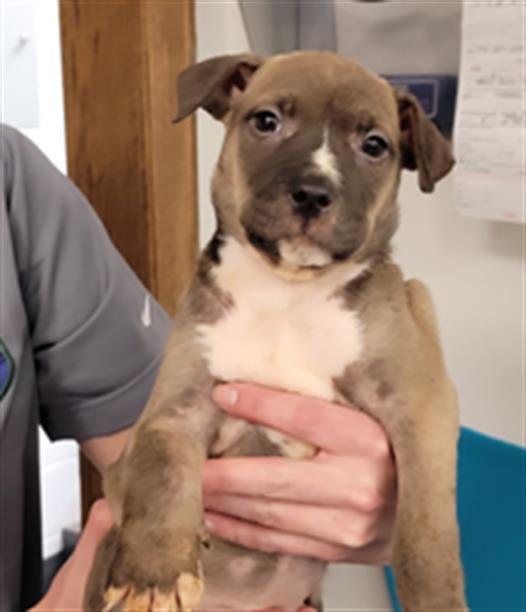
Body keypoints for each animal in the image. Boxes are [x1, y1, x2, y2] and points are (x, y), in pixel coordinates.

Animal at [85, 51, 470, 612]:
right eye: (266, 121)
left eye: (375, 145)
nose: (312, 193)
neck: (288, 290)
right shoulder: (178, 409)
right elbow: (161, 471)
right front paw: (152, 575)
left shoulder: (420, 407)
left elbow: (426, 530)